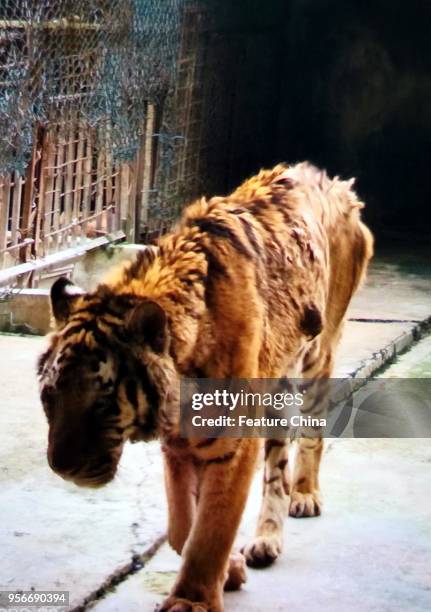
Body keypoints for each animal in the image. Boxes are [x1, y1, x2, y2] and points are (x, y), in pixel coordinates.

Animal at [38, 163, 374, 612]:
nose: (62, 468)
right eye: (50, 396)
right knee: (277, 465)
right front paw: (230, 571)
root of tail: (334, 182)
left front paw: (192, 601)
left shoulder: (232, 444)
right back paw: (266, 539)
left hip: (318, 357)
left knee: (310, 437)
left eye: (103, 402)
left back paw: (304, 496)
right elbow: (183, 527)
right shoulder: (178, 445)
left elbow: (212, 528)